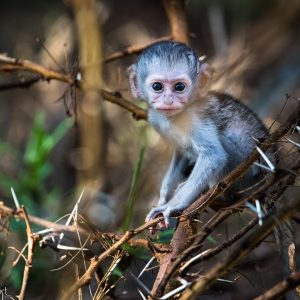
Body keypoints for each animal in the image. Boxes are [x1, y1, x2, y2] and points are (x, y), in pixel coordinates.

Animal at [129, 41, 268, 231]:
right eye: (157, 87)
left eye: (179, 87)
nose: (168, 101)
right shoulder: (156, 119)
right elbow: (180, 153)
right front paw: (163, 199)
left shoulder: (194, 119)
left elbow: (213, 156)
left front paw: (170, 206)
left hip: (246, 177)